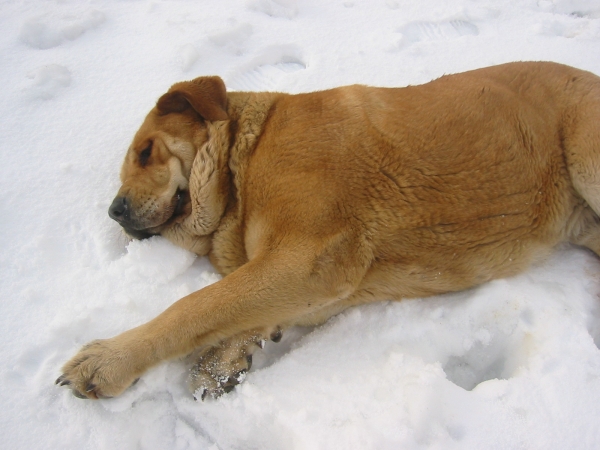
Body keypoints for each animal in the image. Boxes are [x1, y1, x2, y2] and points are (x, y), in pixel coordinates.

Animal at [58, 60, 600, 400]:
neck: (241, 167)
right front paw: (224, 358)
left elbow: (195, 306)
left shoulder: (314, 257)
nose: (114, 211)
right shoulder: (304, 274)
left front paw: (109, 360)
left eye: (146, 152)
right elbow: (234, 307)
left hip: (585, 155)